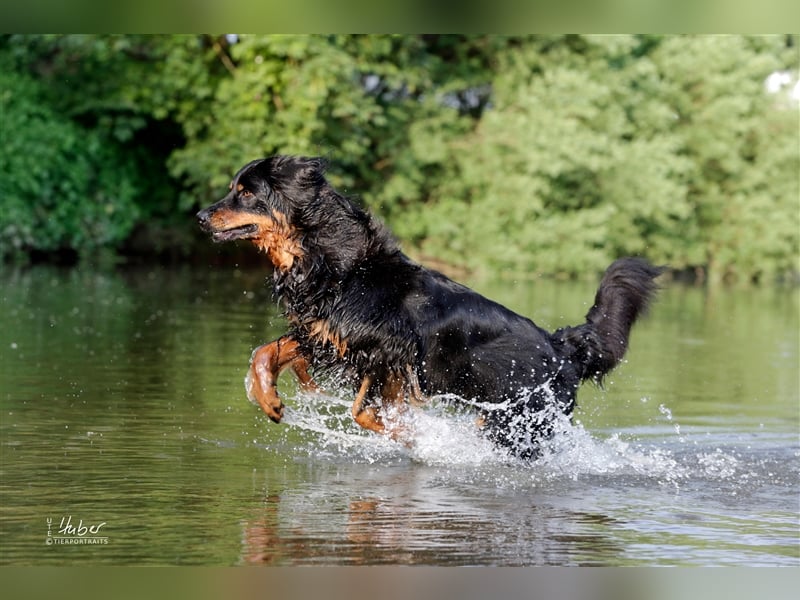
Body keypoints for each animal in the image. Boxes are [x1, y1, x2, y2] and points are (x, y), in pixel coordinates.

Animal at [195, 156, 664, 460]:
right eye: (234, 189)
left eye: (246, 193)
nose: (199, 216)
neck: (339, 263)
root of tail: (562, 347)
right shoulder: (329, 336)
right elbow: (264, 354)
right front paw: (269, 399)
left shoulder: (389, 350)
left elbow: (363, 410)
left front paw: (410, 435)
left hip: (521, 424)